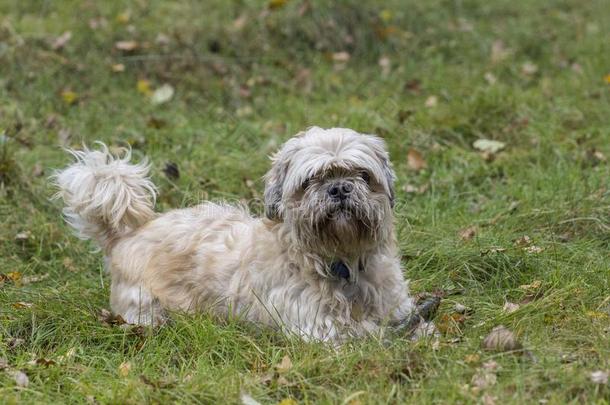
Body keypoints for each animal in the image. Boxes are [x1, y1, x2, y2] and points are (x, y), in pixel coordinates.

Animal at [53, 126, 432, 340]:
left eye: (362, 175)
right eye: (311, 180)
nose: (339, 188)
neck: (342, 262)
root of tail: (130, 231)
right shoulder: (320, 328)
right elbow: (369, 334)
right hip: (146, 308)